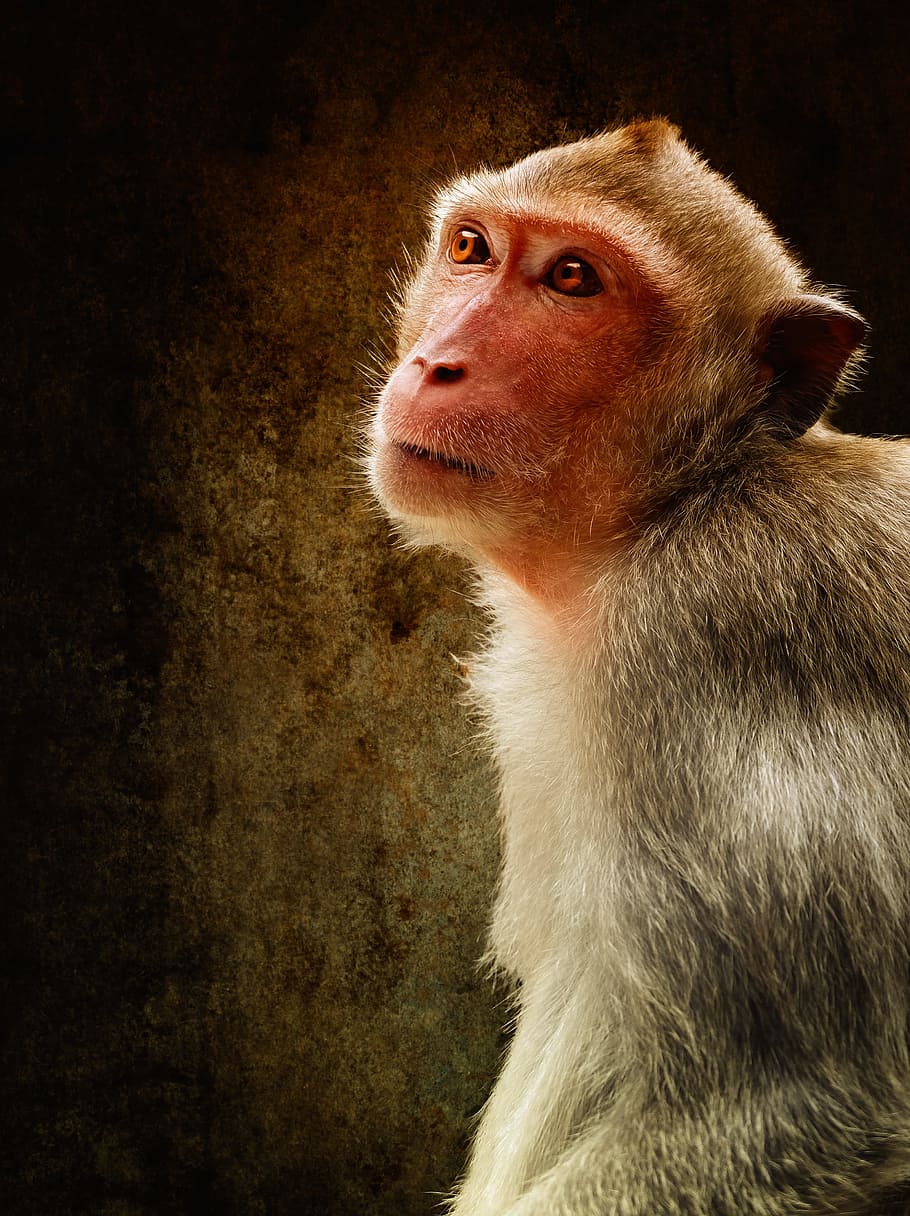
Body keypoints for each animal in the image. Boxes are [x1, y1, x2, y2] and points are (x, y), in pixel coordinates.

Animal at [365, 119, 910, 1215]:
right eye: (472, 249)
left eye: (573, 278)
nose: (438, 362)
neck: (686, 497)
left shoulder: (709, 638)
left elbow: (819, 1099)